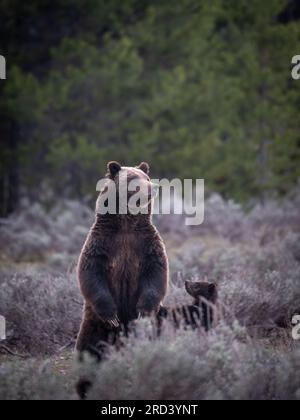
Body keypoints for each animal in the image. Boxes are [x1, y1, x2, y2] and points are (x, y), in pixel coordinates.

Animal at [75, 162, 169, 360]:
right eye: (134, 179)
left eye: (146, 177)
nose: (154, 187)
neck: (126, 224)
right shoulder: (102, 243)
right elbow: (91, 273)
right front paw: (112, 315)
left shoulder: (147, 244)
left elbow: (156, 273)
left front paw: (143, 312)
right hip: (93, 323)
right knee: (88, 345)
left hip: (159, 319)